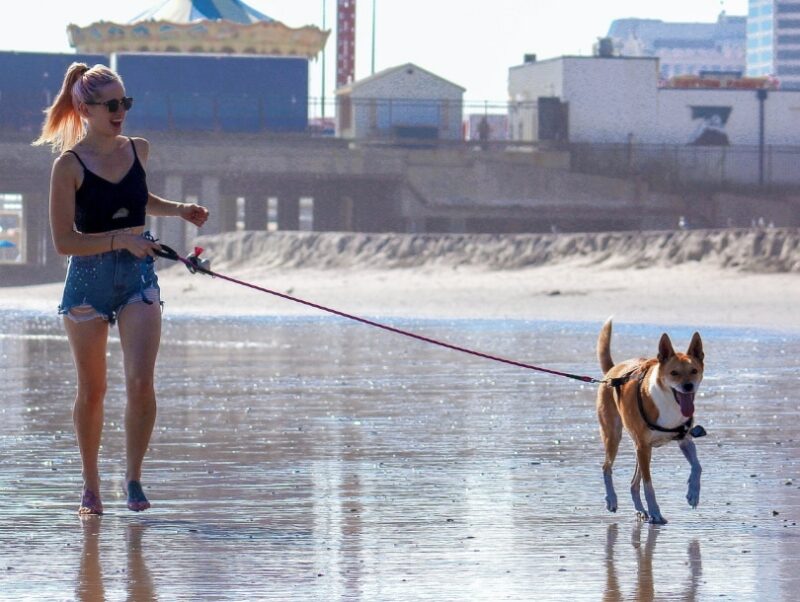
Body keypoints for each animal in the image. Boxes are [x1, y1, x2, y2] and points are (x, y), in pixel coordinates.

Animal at [592, 318, 708, 520]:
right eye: (674, 373)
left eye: (694, 370)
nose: (688, 386)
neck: (669, 402)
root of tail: (612, 371)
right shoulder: (643, 446)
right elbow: (648, 485)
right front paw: (655, 511)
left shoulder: (684, 440)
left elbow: (697, 467)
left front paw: (693, 494)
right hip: (615, 436)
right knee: (606, 467)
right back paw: (612, 499)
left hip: (642, 449)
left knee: (633, 483)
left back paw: (640, 509)